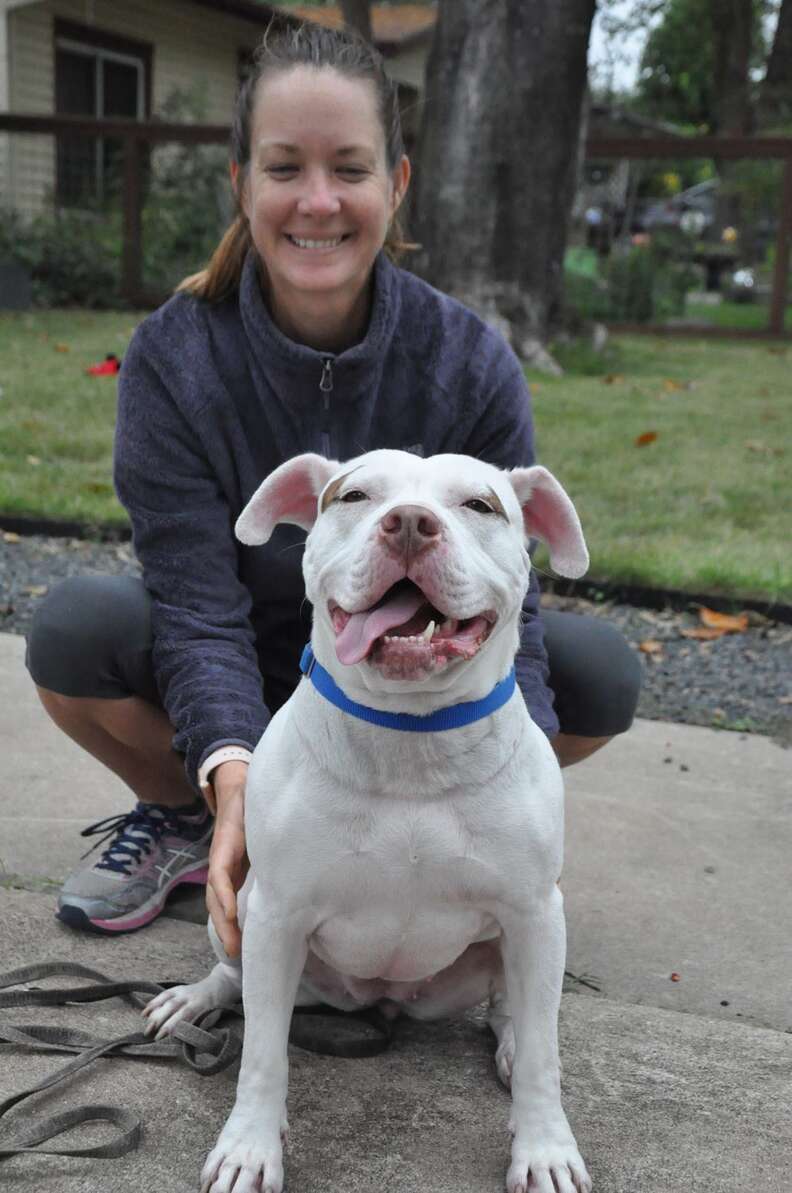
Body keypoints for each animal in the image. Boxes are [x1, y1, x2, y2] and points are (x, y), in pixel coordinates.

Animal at [142, 448, 591, 1193]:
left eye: (480, 505)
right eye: (353, 496)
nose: (408, 523)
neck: (410, 737)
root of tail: (386, 1001)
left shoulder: (535, 912)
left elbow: (543, 1055)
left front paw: (545, 1147)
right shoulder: (278, 913)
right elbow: (262, 1053)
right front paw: (249, 1147)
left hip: (518, 946)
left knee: (516, 1013)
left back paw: (508, 1041)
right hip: (237, 908)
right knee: (236, 978)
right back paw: (195, 998)